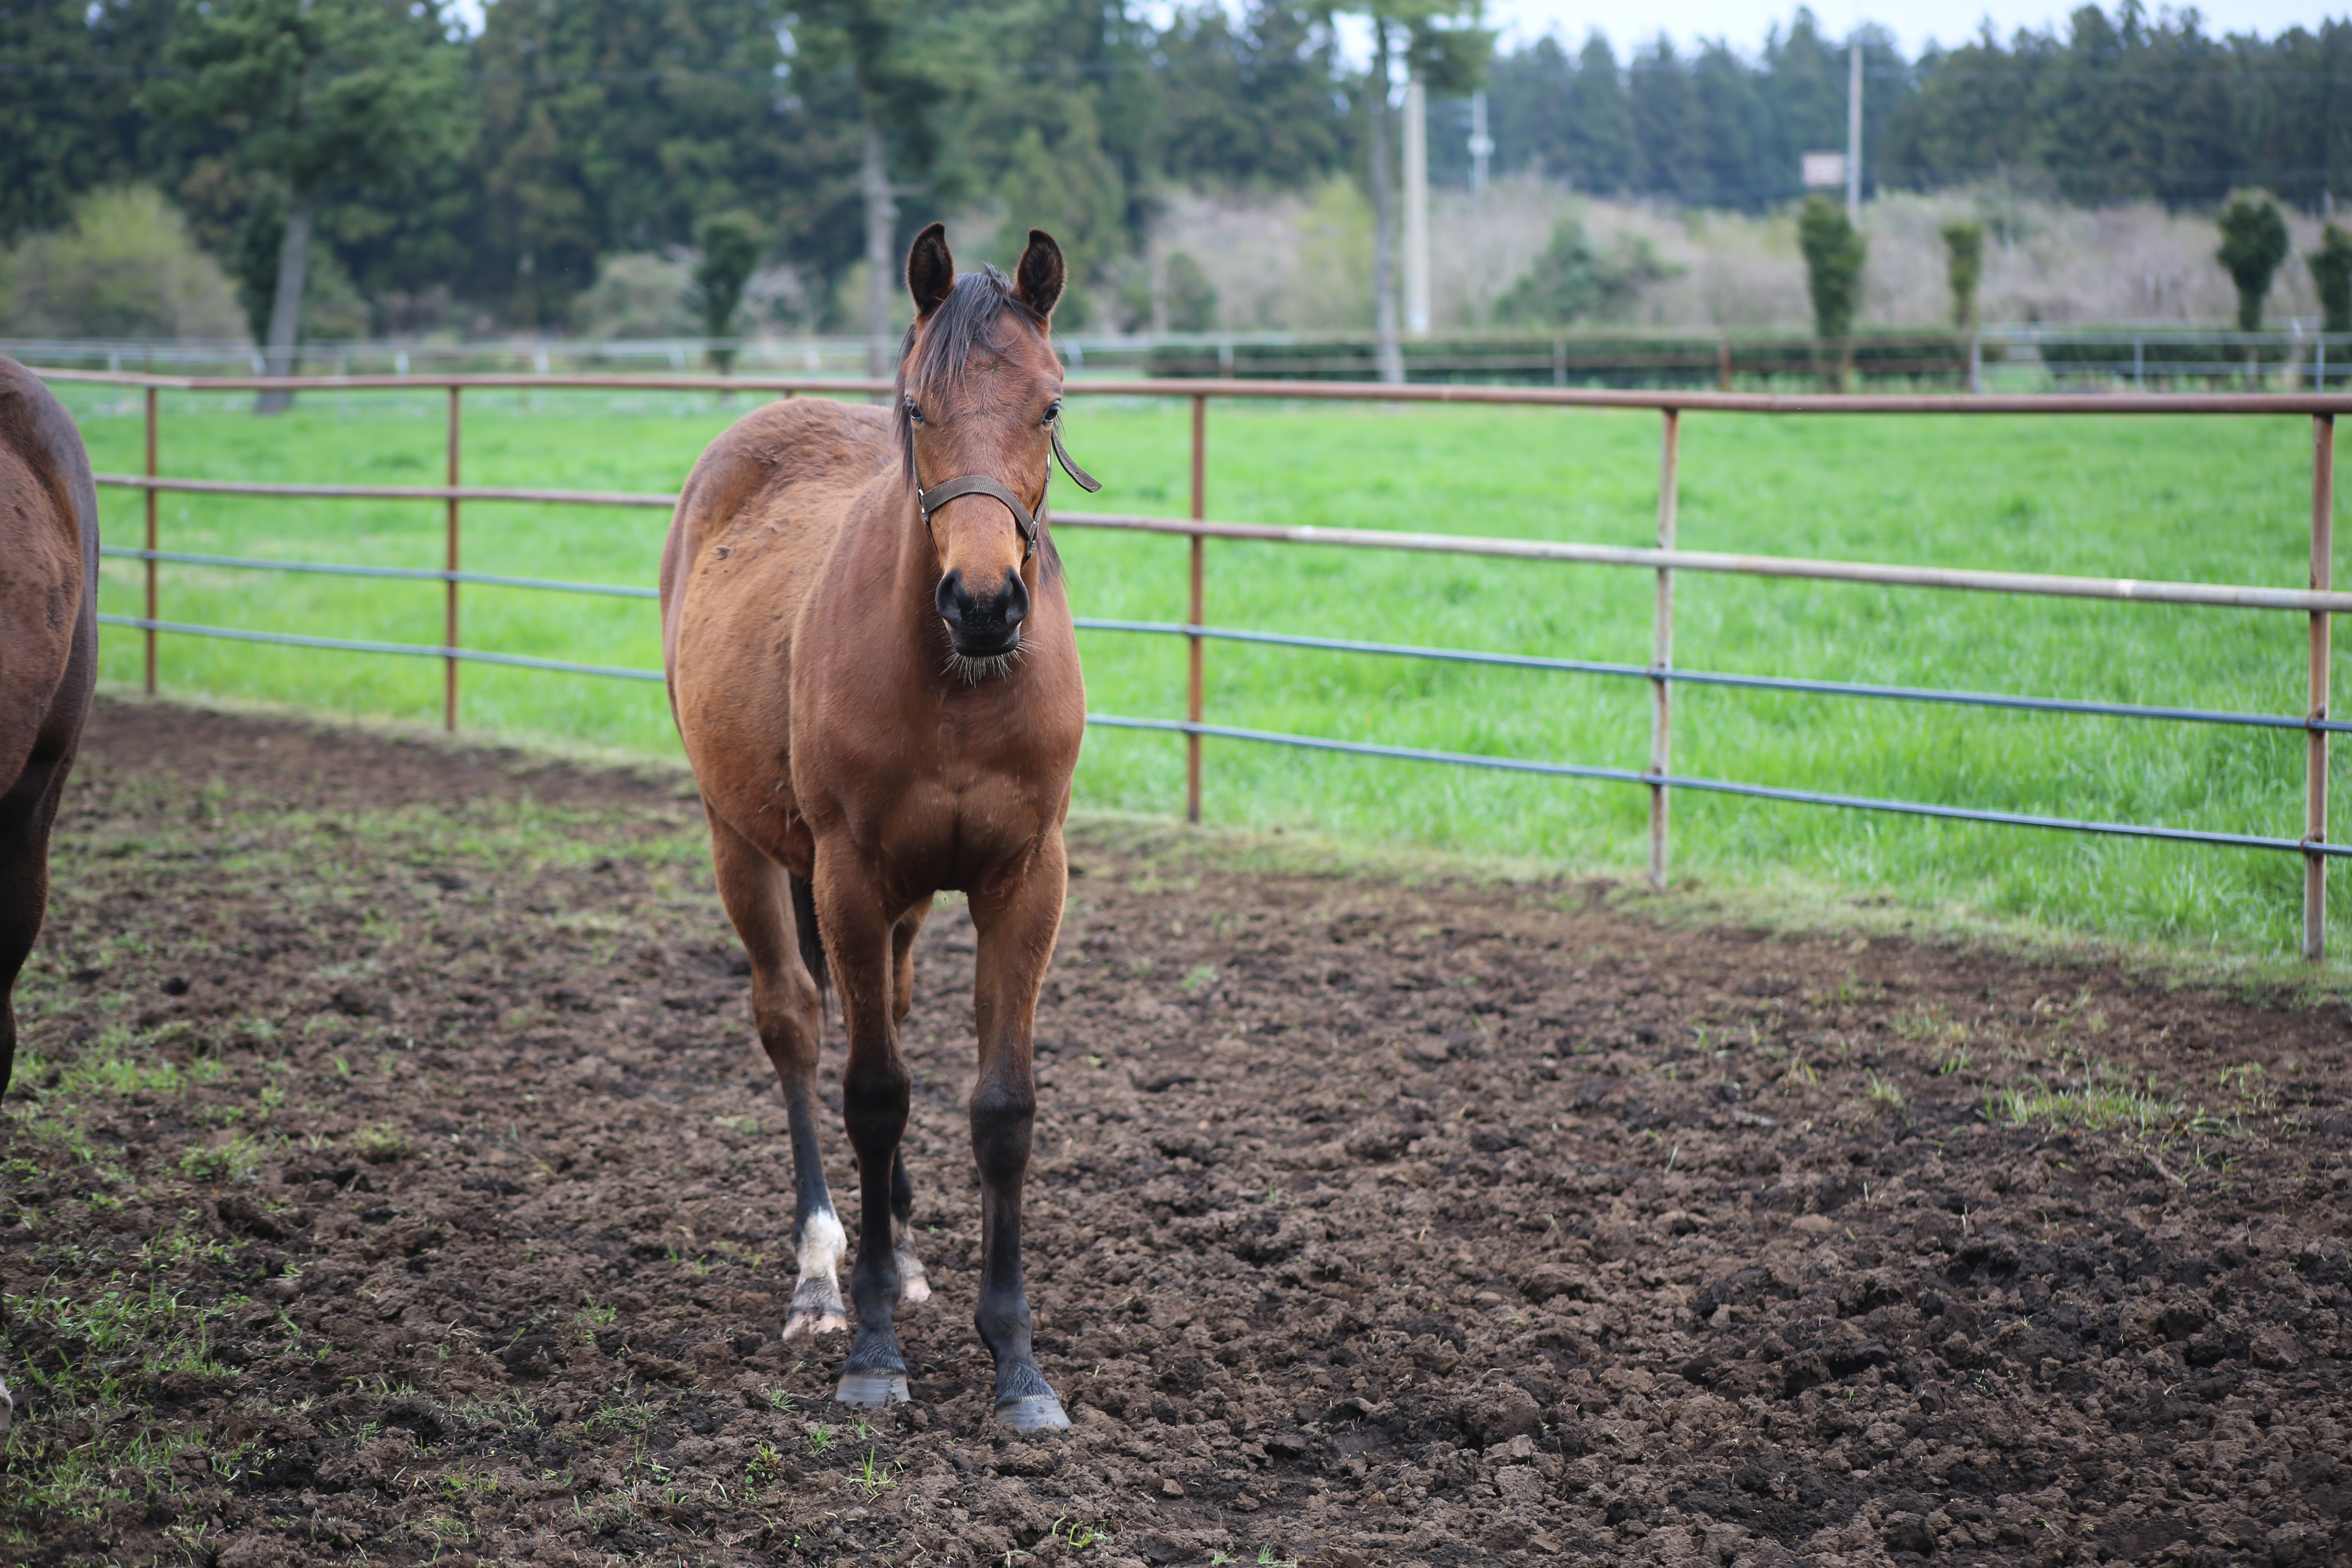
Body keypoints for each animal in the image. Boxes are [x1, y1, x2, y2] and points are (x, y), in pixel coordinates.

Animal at [668, 223, 1096, 1439]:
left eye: (1050, 404)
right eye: (915, 406)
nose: (985, 602)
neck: (955, 683)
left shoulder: (1025, 878)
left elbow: (1001, 1109)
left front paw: (1017, 1364)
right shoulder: (848, 877)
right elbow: (873, 1096)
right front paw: (871, 1353)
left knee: (889, 1010)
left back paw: (897, 1252)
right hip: (744, 845)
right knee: (797, 1025)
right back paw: (822, 1271)